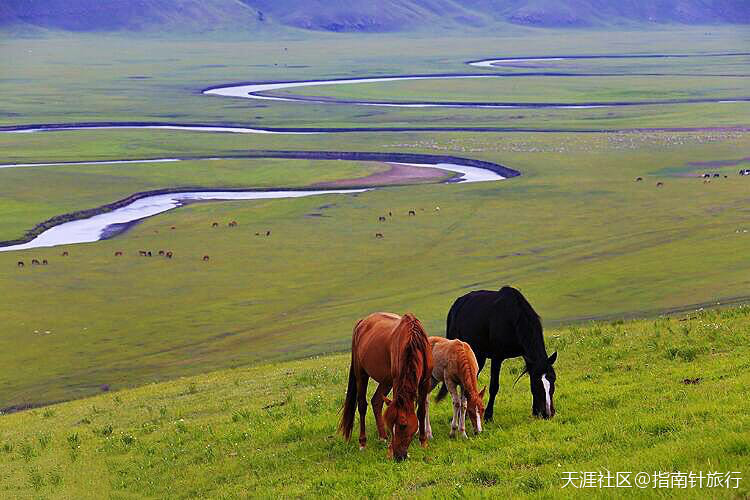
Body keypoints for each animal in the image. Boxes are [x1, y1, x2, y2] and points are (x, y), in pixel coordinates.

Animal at [340, 312, 434, 460]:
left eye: (402, 425)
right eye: (390, 424)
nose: (398, 456)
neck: (414, 343)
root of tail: (362, 322)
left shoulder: (425, 381)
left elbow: (421, 411)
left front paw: (423, 442)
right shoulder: (397, 381)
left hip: (386, 381)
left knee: (376, 401)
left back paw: (383, 437)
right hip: (361, 374)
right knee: (362, 405)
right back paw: (363, 443)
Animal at [446, 288, 560, 420]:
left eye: (553, 379)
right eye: (537, 383)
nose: (548, 413)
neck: (513, 318)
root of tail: (456, 305)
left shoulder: (526, 356)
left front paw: (535, 411)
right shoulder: (497, 357)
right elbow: (494, 386)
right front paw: (488, 416)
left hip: (479, 355)